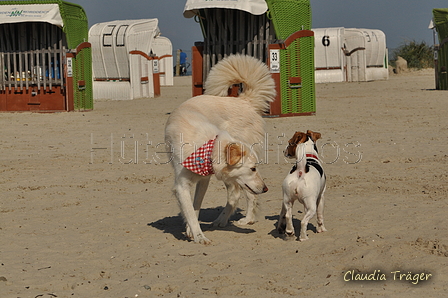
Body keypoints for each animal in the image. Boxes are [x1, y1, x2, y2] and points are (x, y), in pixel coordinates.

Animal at [165, 54, 274, 243]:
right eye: (252, 168)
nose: (266, 188)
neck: (205, 146)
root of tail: (244, 101)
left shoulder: (204, 180)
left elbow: (195, 207)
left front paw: (195, 234)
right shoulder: (183, 184)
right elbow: (192, 210)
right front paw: (195, 233)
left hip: (237, 178)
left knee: (244, 195)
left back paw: (244, 219)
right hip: (235, 177)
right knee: (239, 194)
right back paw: (226, 220)